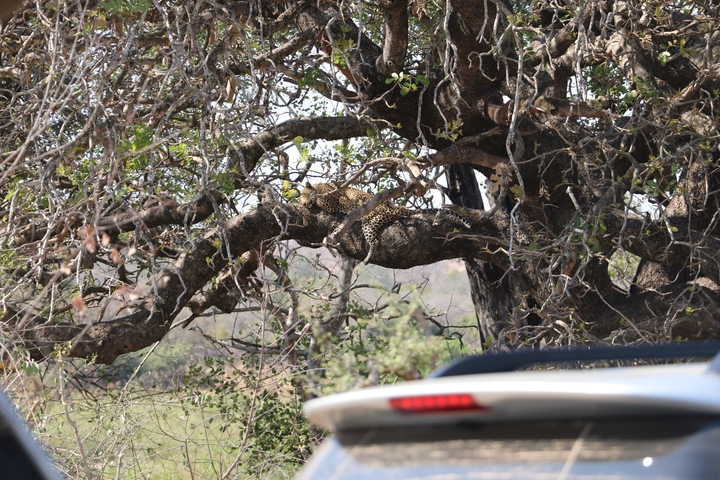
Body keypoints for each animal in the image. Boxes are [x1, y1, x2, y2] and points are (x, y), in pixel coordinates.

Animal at [300, 181, 472, 262]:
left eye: (304, 195)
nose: (303, 204)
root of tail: (394, 207)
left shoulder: (330, 202)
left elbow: (320, 200)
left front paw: (313, 201)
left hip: (369, 223)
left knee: (375, 241)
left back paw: (367, 259)